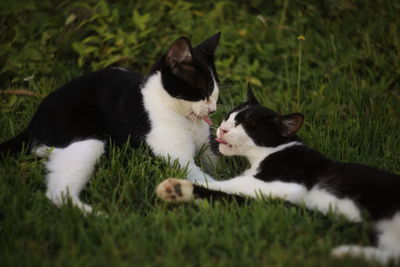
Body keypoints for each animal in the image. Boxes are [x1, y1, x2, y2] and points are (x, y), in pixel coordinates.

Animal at [0, 33, 220, 214]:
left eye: (215, 91)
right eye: (204, 90)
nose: (213, 109)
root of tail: (32, 125)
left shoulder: (207, 149)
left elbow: (216, 162)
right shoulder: (179, 159)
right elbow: (203, 179)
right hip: (87, 139)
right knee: (59, 193)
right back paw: (101, 215)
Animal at [156, 87, 400, 264]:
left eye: (248, 125)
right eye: (227, 117)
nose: (222, 129)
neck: (272, 151)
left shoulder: (282, 183)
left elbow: (223, 185)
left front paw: (179, 183)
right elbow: (226, 196)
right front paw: (177, 190)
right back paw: (345, 253)